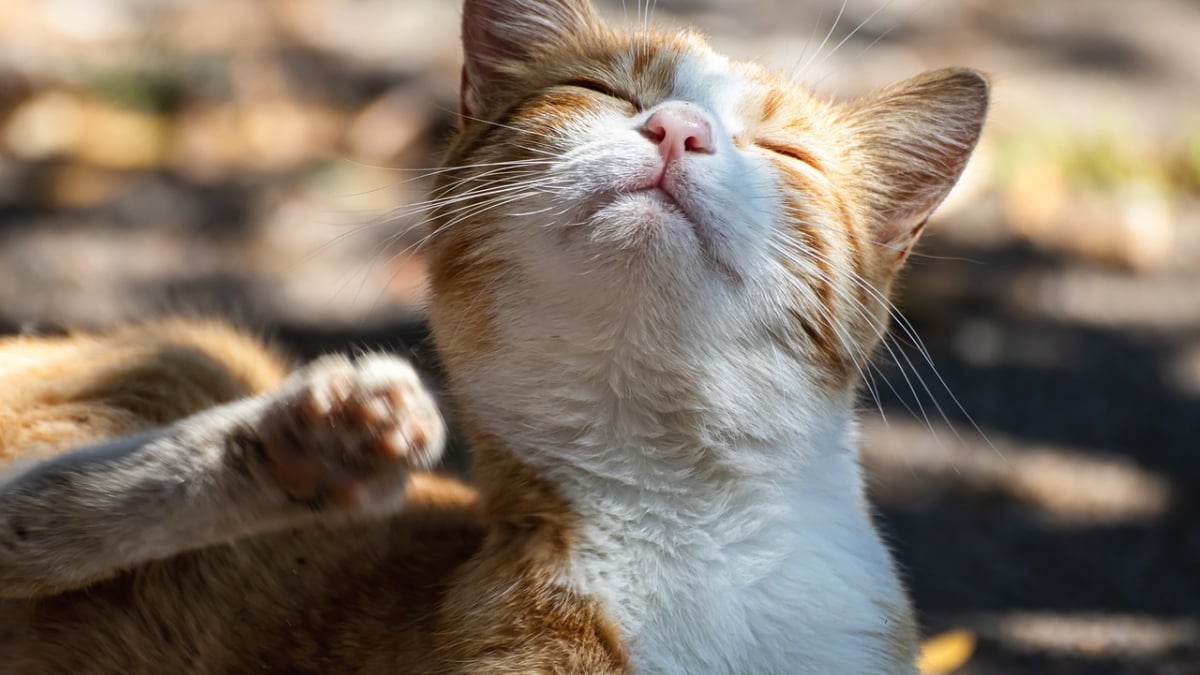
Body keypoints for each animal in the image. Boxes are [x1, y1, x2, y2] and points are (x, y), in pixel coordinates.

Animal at [0, 0, 984, 667]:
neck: (696, 532)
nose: (679, 129)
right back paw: (306, 442)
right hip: (180, 358)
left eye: (786, 154)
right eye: (598, 90)